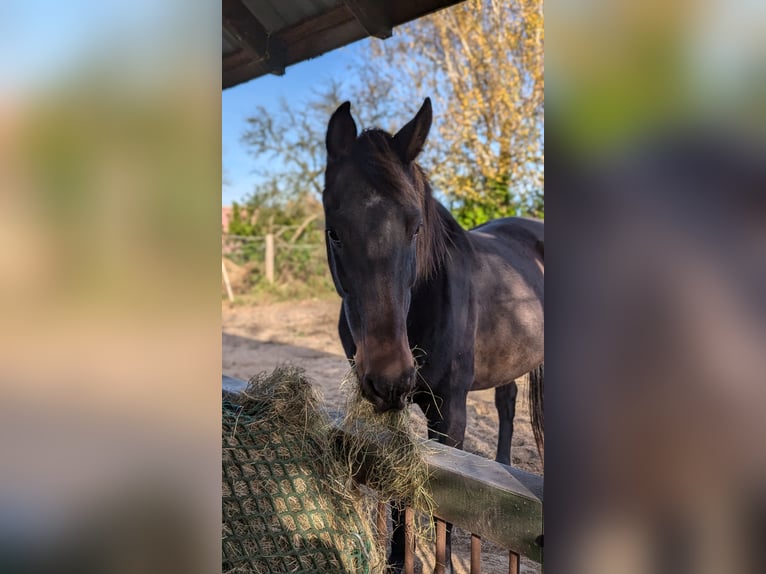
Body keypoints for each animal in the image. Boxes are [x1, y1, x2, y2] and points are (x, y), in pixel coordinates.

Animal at [324, 97, 544, 572]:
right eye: (334, 231)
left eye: (415, 228)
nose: (390, 374)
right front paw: (394, 558)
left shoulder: (450, 411)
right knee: (507, 400)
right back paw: (501, 462)